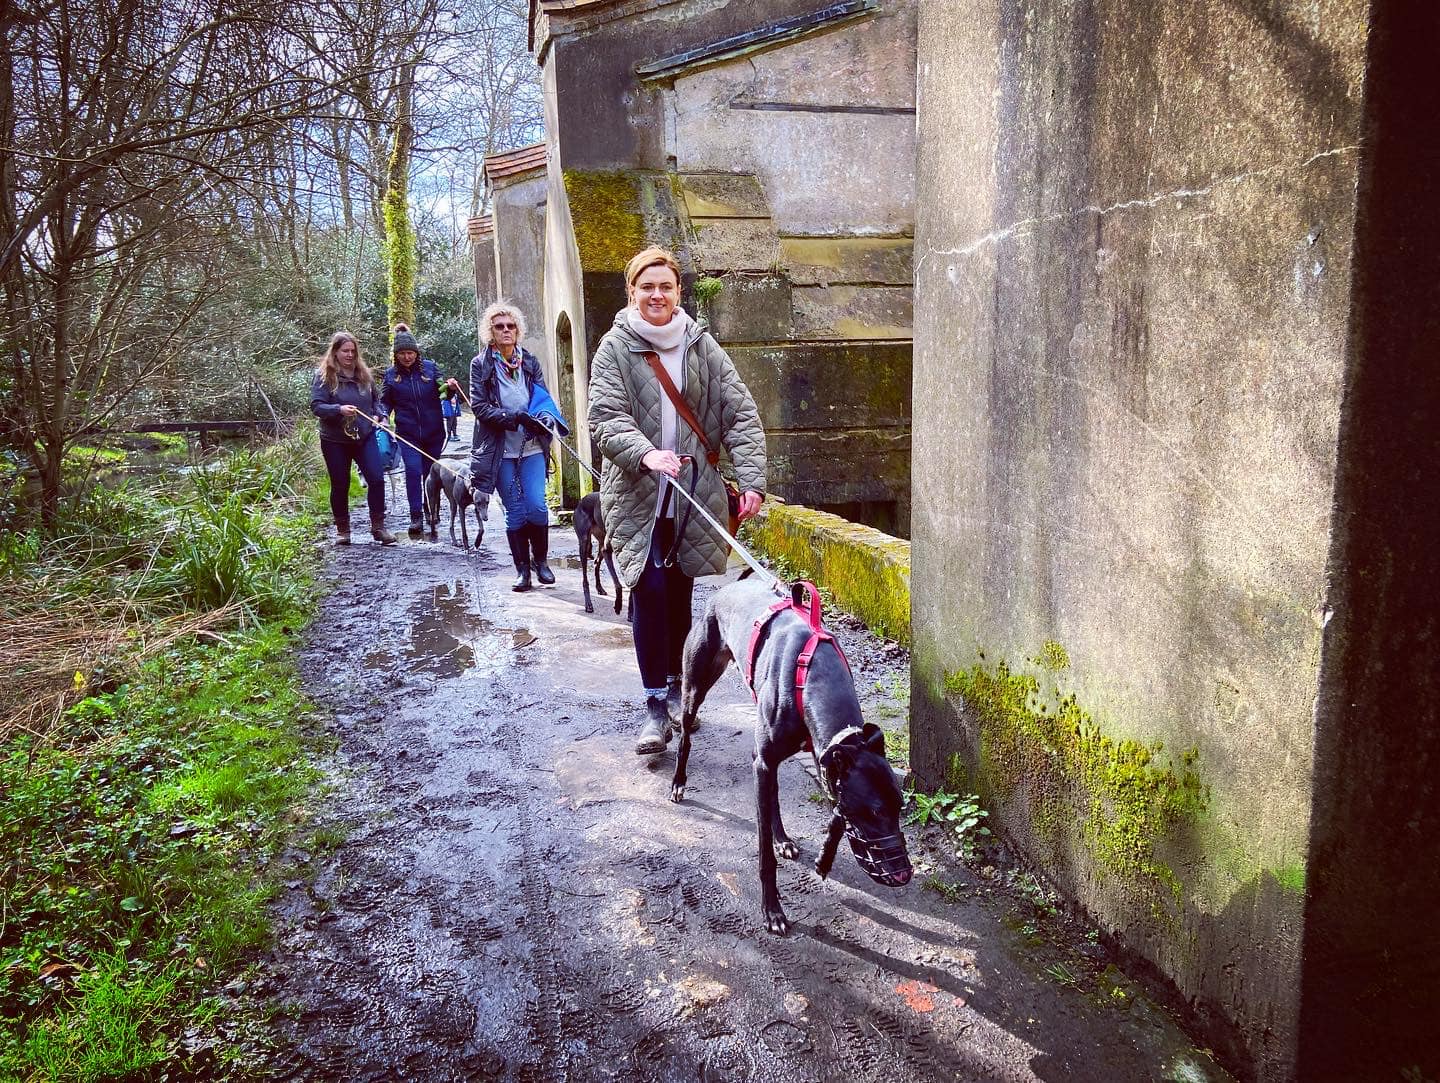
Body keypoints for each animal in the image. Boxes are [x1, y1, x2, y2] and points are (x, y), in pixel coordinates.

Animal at [670, 575, 912, 935]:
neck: (812, 675)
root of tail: (723, 591)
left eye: (899, 807)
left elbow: (833, 810)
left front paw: (823, 860)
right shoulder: (771, 761)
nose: (903, 874)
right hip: (696, 685)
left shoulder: (817, 754)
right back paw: (678, 782)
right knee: (686, 736)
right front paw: (772, 911)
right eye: (875, 811)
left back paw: (782, 837)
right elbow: (764, 856)